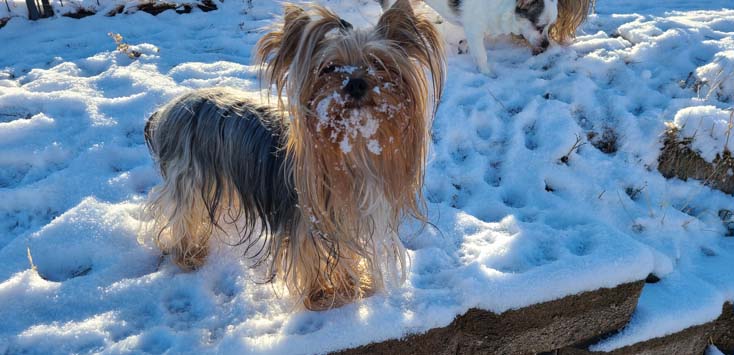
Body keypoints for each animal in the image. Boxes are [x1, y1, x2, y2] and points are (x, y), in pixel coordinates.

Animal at [142, 0, 446, 312]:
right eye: (329, 67)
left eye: (378, 63)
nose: (356, 83)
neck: (354, 146)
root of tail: (168, 110)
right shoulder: (310, 221)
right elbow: (311, 256)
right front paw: (322, 295)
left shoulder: (347, 219)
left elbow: (345, 255)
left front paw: (353, 285)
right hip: (188, 178)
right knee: (182, 214)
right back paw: (189, 255)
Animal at [380, 0, 592, 74]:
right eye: (539, 27)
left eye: (550, 27)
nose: (547, 45)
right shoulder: (474, 28)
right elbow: (481, 55)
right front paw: (487, 73)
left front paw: (463, 45)